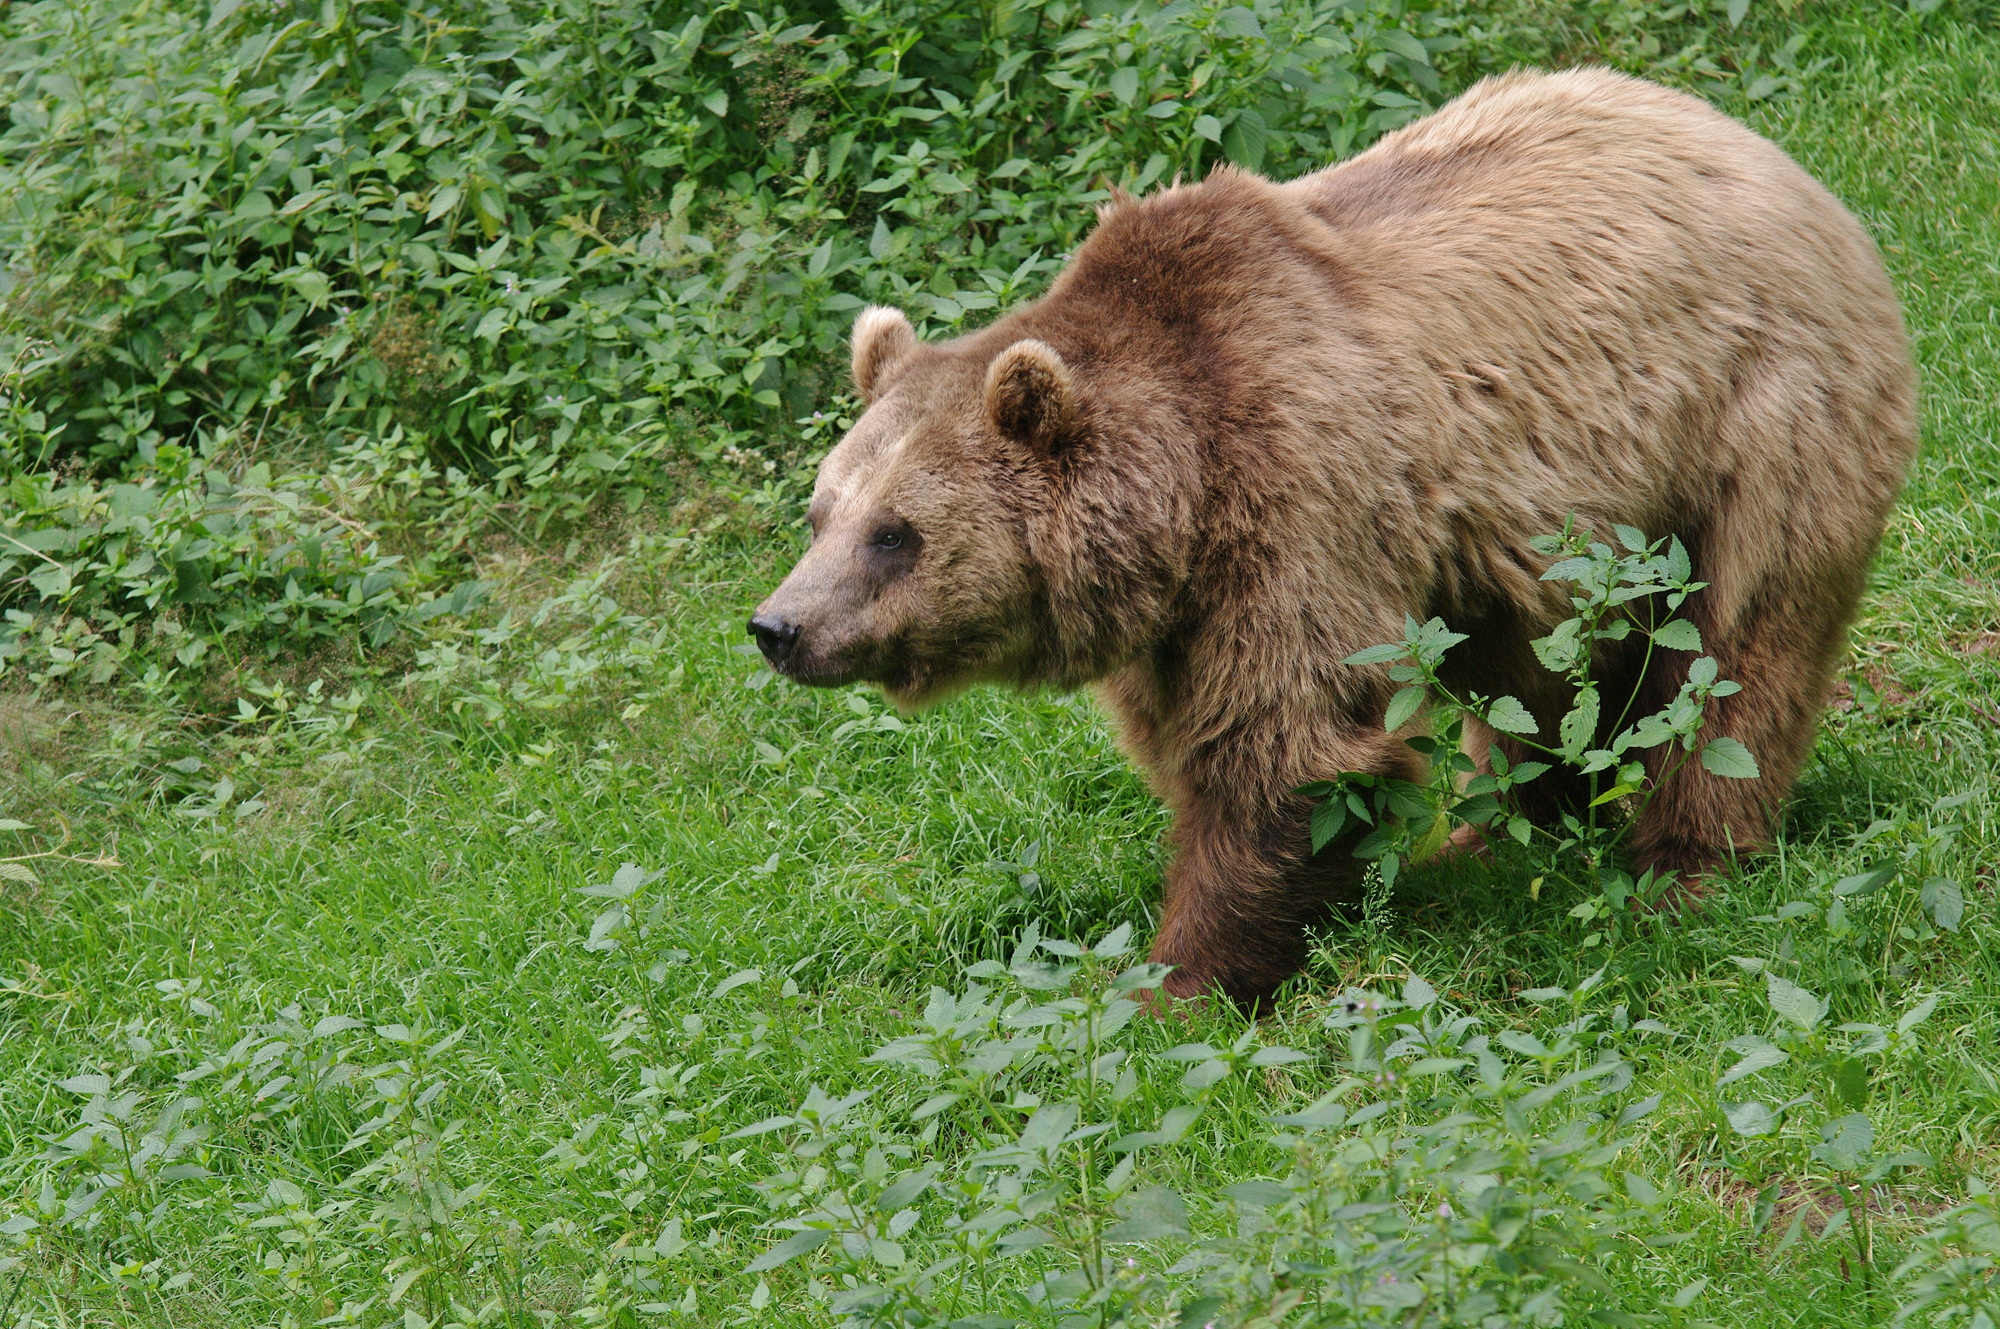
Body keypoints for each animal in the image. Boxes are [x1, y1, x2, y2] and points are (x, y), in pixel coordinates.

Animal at [752, 70, 1920, 1008]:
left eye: (894, 534)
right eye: (820, 512)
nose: (779, 626)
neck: (1180, 497)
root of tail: (1766, 153)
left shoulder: (1296, 496)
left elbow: (1283, 742)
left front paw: (1174, 981)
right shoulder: (1180, 614)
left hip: (1756, 419)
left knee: (1734, 653)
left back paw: (1677, 862)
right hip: (1535, 550)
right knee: (1535, 684)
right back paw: (1490, 835)